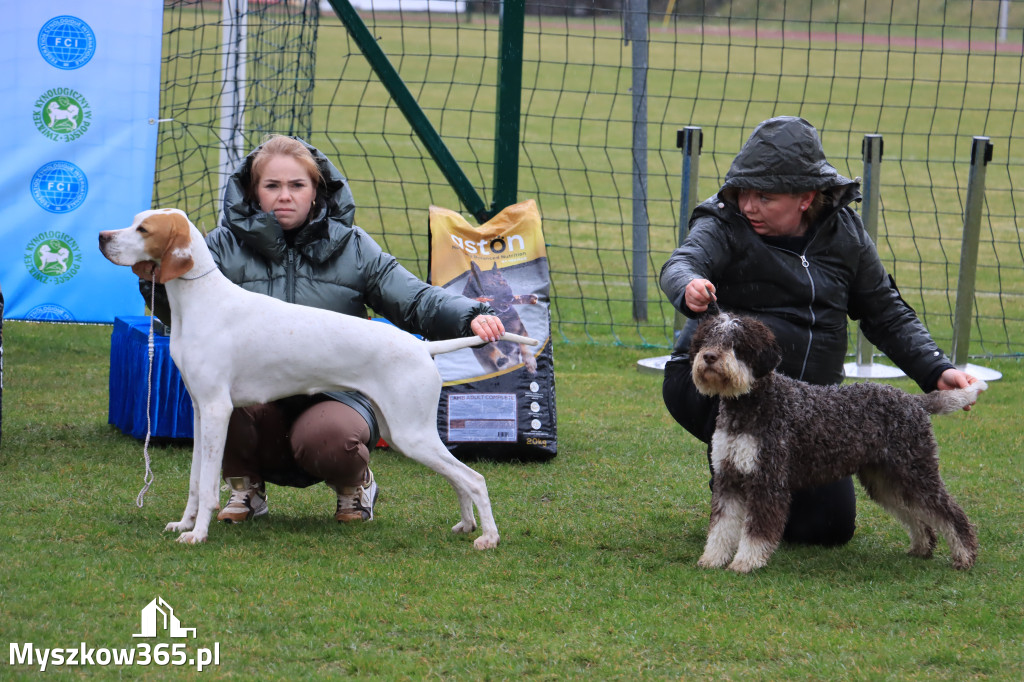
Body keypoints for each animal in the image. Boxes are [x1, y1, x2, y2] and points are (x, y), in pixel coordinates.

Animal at [99, 206, 540, 548]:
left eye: (143, 229)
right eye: (134, 222)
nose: (103, 236)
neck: (202, 302)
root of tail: (422, 348)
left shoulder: (217, 409)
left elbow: (207, 486)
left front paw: (198, 534)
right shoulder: (199, 411)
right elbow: (195, 482)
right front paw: (185, 523)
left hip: (411, 434)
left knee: (474, 478)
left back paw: (488, 537)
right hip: (404, 432)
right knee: (459, 480)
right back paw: (467, 525)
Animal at [688, 307, 983, 569]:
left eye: (737, 343)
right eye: (708, 339)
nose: (709, 357)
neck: (752, 404)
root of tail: (914, 401)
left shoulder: (767, 480)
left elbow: (755, 532)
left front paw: (745, 562)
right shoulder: (729, 477)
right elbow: (721, 527)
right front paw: (712, 559)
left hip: (915, 473)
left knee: (950, 513)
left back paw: (965, 556)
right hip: (887, 480)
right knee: (916, 515)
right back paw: (921, 548)